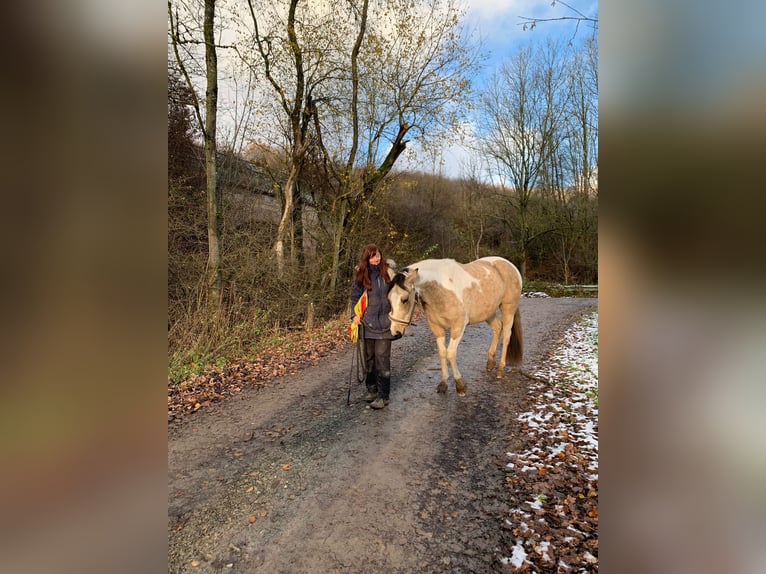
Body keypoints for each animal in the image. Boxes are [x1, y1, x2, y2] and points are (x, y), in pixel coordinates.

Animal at [387, 256, 523, 396]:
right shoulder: (437, 328)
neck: (441, 290)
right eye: (389, 299)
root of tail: (509, 264)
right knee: (497, 327)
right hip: (488, 312)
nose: (395, 332)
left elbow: (451, 353)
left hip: (508, 308)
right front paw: (443, 384)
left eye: (404, 300)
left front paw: (460, 386)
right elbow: (442, 353)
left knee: (506, 336)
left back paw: (500, 369)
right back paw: (490, 363)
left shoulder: (458, 327)